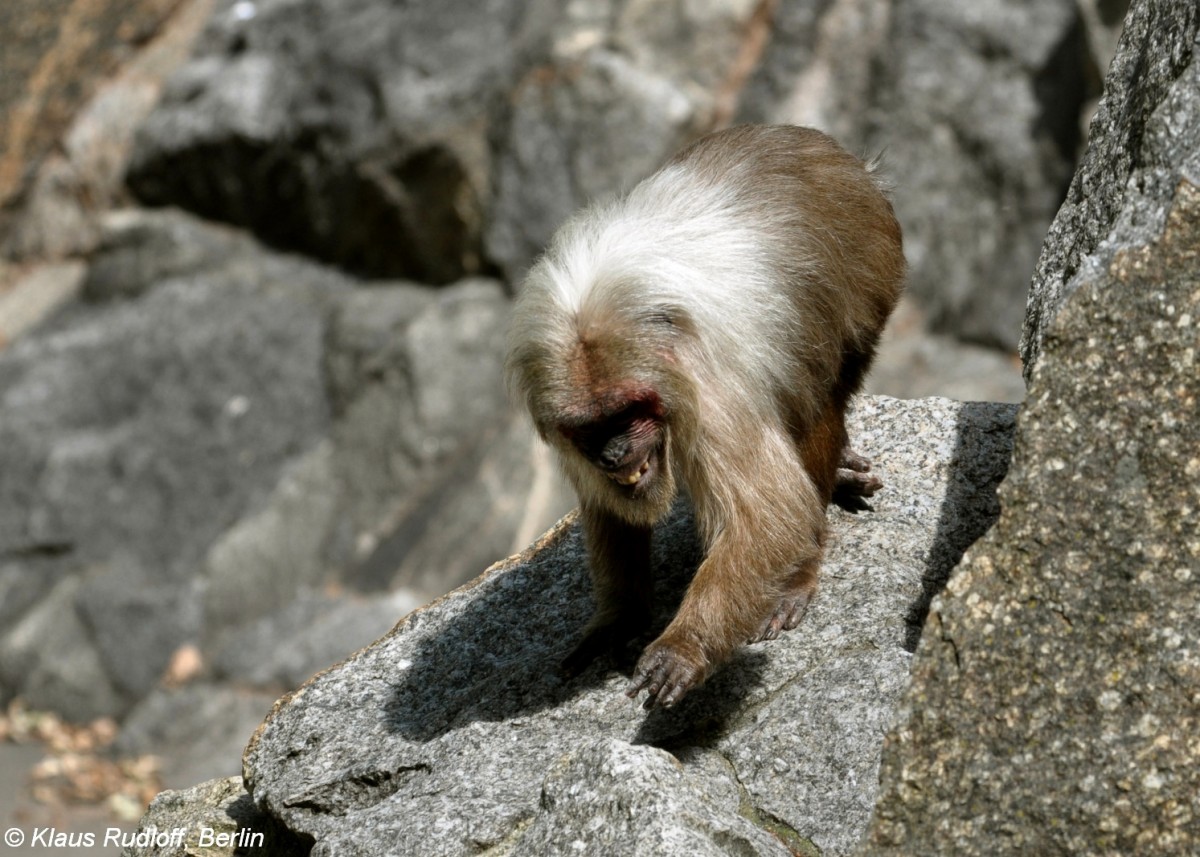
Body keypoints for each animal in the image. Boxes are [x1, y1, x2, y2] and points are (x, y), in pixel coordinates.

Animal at [501, 123, 902, 705]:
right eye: (592, 427)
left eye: (629, 412)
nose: (614, 452)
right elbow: (612, 512)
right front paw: (621, 617)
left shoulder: (712, 396)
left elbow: (773, 515)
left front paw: (685, 645)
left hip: (870, 266)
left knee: (814, 400)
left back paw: (799, 569)